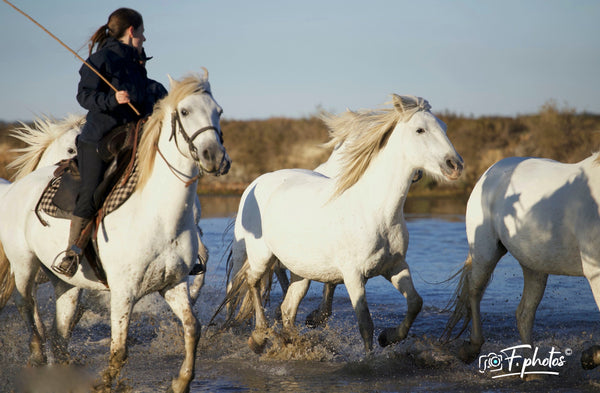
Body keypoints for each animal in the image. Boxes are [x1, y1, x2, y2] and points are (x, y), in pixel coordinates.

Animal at [0, 71, 230, 392]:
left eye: (218, 111)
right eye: (184, 111)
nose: (214, 157)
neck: (158, 216)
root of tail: (18, 187)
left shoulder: (172, 284)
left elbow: (192, 328)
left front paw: (181, 381)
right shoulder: (123, 291)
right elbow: (119, 349)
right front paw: (102, 383)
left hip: (67, 283)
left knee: (60, 328)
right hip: (24, 264)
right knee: (26, 304)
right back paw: (36, 353)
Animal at [225, 94, 464, 352]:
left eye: (444, 127)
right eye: (420, 129)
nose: (455, 165)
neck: (375, 211)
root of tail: (257, 182)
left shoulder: (395, 266)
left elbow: (415, 303)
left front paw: (388, 337)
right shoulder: (353, 276)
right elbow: (365, 324)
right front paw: (370, 357)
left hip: (301, 270)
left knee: (287, 308)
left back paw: (291, 342)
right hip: (260, 255)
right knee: (252, 282)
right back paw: (259, 336)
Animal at [442, 155, 600, 370]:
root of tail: (490, 171)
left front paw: (590, 356)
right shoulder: (595, 274)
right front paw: (590, 356)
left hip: (534, 265)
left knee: (524, 313)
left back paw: (533, 370)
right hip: (486, 253)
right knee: (474, 290)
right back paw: (471, 349)